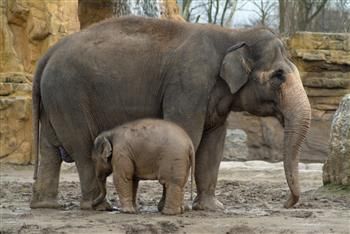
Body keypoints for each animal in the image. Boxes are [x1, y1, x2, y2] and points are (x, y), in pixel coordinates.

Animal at [30, 16, 308, 210]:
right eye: (279, 76)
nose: (286, 203)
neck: (233, 35)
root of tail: (46, 55)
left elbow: (214, 145)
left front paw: (211, 209)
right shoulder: (188, 85)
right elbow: (188, 132)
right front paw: (172, 207)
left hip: (54, 99)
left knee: (49, 150)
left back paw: (45, 206)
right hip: (69, 96)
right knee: (81, 147)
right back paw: (98, 206)